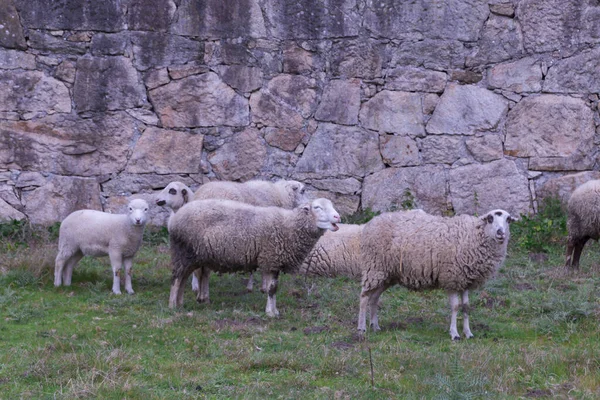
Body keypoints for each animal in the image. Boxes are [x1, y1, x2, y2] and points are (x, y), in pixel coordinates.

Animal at [166, 198, 340, 316]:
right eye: (317, 207)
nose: (338, 217)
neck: (288, 226)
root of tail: (173, 219)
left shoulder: (273, 262)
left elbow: (273, 288)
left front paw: (274, 311)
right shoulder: (270, 259)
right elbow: (272, 289)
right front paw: (271, 313)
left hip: (194, 256)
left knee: (183, 278)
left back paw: (180, 303)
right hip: (183, 252)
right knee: (176, 279)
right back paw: (172, 306)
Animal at [356, 209, 516, 340]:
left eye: (508, 219)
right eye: (490, 218)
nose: (500, 233)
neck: (472, 235)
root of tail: (371, 223)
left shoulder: (465, 281)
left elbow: (466, 307)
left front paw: (468, 333)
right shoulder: (451, 278)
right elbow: (455, 307)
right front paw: (455, 334)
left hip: (386, 274)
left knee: (374, 298)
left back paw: (375, 326)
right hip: (374, 267)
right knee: (364, 297)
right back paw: (361, 328)